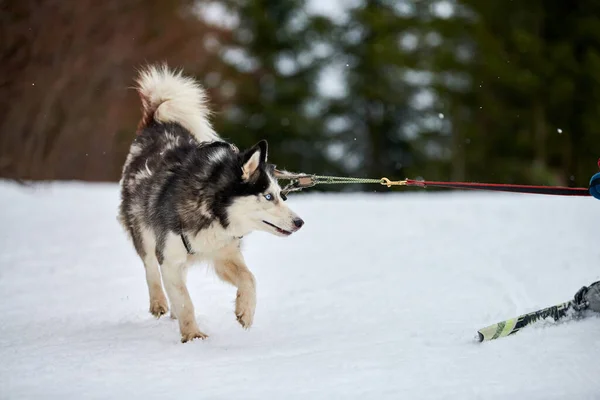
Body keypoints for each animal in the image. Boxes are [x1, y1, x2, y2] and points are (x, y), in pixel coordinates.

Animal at [118, 64, 304, 342]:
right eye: (268, 196)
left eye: (282, 196)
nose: (300, 222)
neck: (213, 211)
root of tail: (157, 124)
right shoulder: (169, 255)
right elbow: (185, 300)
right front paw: (193, 336)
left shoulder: (223, 254)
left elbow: (249, 278)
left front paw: (245, 311)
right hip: (143, 230)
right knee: (151, 266)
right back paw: (159, 303)